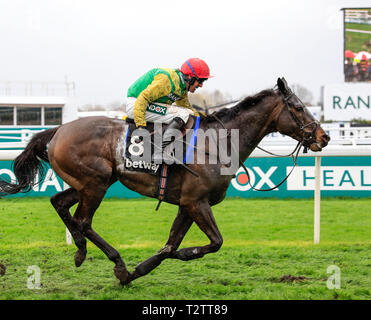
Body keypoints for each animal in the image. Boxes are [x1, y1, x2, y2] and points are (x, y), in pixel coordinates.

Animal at [0, 78, 332, 284]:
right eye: (299, 107)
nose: (324, 136)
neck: (218, 142)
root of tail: (57, 131)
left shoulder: (187, 204)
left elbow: (171, 244)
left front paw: (138, 271)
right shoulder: (197, 202)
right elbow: (214, 242)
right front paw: (174, 257)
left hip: (91, 182)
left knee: (59, 203)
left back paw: (82, 251)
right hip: (96, 183)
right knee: (82, 220)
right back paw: (113, 259)